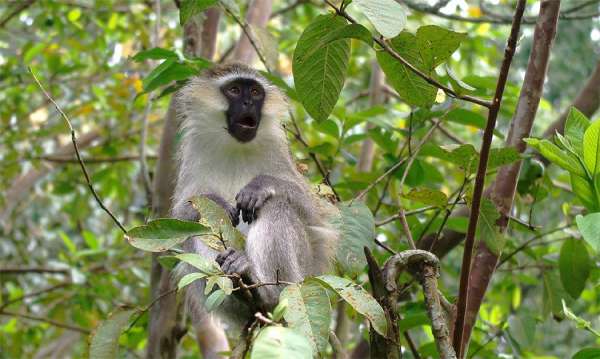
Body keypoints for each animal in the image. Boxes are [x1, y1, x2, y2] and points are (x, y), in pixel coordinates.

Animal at [170, 64, 338, 330]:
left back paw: (265, 291)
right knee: (201, 221)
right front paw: (217, 203)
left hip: (300, 276)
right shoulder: (194, 150)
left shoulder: (277, 147)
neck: (235, 146)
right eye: (235, 90)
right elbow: (183, 211)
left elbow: (313, 212)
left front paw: (261, 186)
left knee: (276, 206)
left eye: (256, 92)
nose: (248, 102)